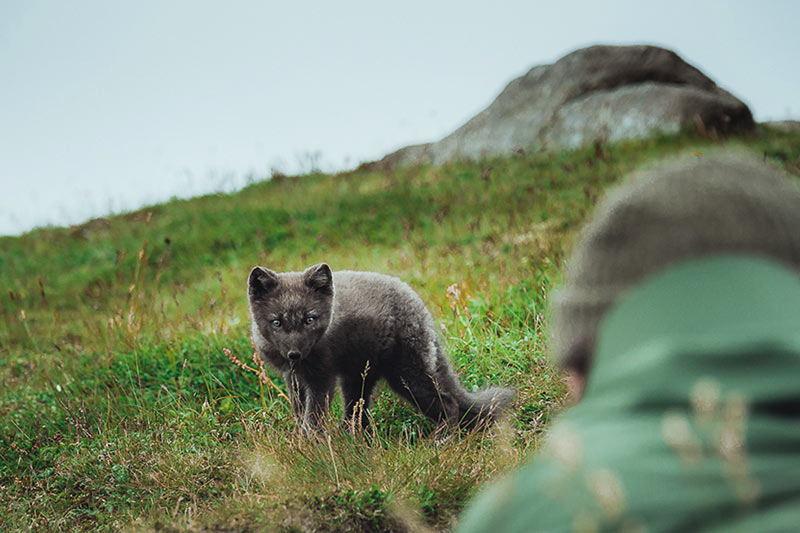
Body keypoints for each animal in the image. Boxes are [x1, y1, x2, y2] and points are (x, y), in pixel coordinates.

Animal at [247, 263, 514, 432]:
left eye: (309, 319)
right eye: (276, 322)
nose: (294, 354)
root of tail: (417, 302)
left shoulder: (321, 379)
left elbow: (312, 419)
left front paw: (309, 445)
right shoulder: (293, 377)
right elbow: (299, 412)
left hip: (407, 377)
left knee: (449, 404)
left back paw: (442, 441)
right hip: (359, 380)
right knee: (358, 417)